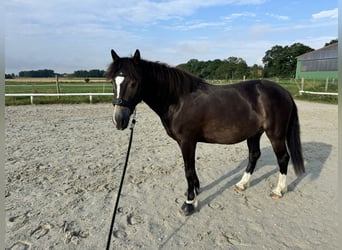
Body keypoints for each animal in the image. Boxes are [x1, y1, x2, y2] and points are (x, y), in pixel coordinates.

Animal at [106, 49, 304, 216]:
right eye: (113, 82)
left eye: (134, 83)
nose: (119, 120)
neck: (177, 99)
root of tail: (284, 91)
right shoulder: (186, 142)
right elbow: (191, 169)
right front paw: (193, 191)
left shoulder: (187, 141)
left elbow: (188, 170)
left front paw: (188, 203)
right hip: (254, 133)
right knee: (254, 155)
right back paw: (242, 184)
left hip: (275, 135)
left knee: (283, 158)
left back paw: (278, 190)